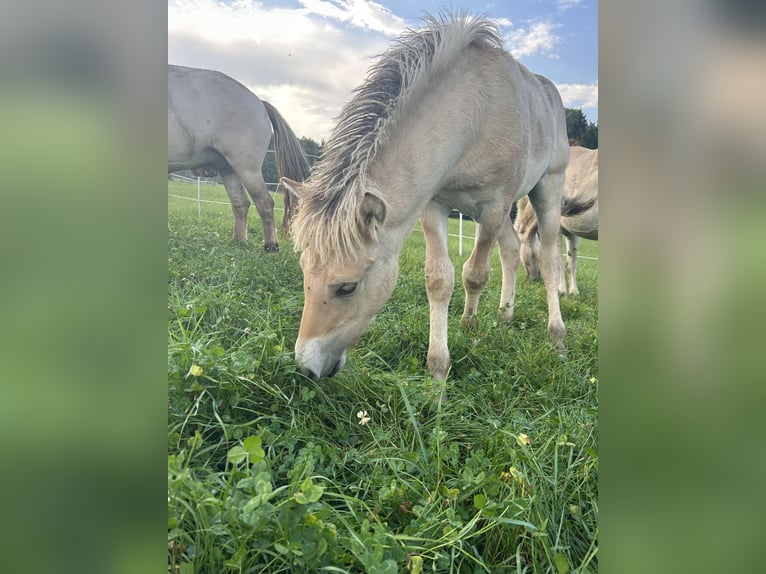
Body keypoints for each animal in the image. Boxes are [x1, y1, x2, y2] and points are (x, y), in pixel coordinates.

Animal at [170, 64, 310, 251]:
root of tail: (259, 102)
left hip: (247, 169)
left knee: (265, 202)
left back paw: (271, 245)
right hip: (228, 169)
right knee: (240, 203)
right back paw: (238, 241)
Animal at [284, 12, 572, 382]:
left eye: (347, 287)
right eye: (305, 272)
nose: (306, 368)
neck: (476, 111)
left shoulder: (494, 207)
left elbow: (474, 273)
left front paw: (464, 330)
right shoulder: (435, 205)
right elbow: (439, 279)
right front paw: (439, 365)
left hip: (547, 188)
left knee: (549, 259)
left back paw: (557, 336)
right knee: (510, 252)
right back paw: (505, 314)